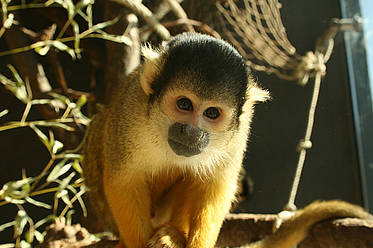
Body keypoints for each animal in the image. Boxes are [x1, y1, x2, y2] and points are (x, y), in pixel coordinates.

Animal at [82, 32, 372, 247]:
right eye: (184, 104)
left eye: (212, 113)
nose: (192, 133)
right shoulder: (130, 110)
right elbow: (123, 181)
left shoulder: (240, 131)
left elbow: (214, 188)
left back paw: (173, 234)